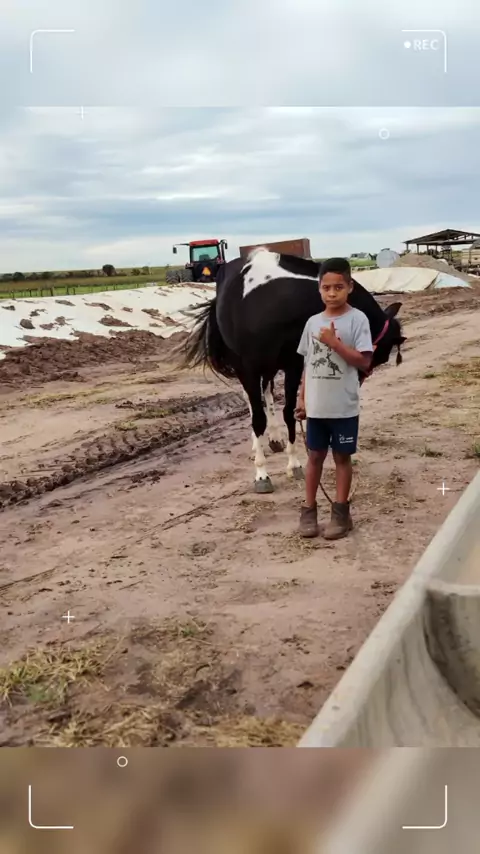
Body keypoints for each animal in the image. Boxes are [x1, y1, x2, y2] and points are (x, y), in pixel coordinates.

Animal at [182, 248, 405, 492]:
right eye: (381, 355)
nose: (359, 380)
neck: (275, 303)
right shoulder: (248, 367)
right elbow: (257, 418)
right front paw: (261, 474)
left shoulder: (293, 364)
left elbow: (288, 411)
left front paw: (294, 463)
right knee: (252, 400)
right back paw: (258, 444)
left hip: (269, 367)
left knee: (267, 392)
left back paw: (274, 439)